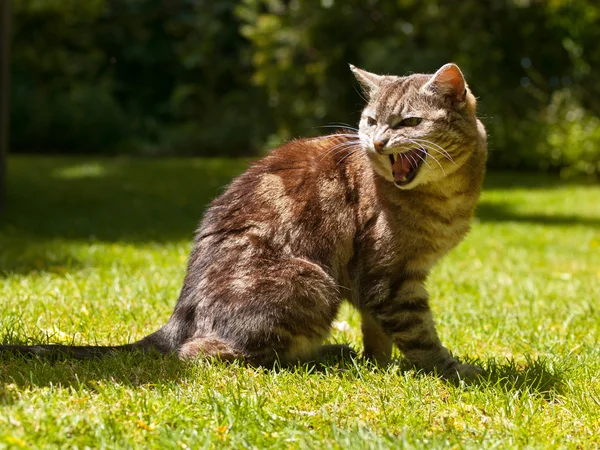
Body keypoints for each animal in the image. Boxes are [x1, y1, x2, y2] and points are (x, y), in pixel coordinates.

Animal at [1, 63, 488, 380]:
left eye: (408, 121)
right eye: (370, 120)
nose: (378, 141)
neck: (445, 198)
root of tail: (180, 314)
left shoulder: (379, 281)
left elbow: (378, 332)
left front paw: (380, 365)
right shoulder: (389, 278)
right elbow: (420, 335)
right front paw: (455, 371)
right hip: (311, 283)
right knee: (204, 353)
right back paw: (325, 355)